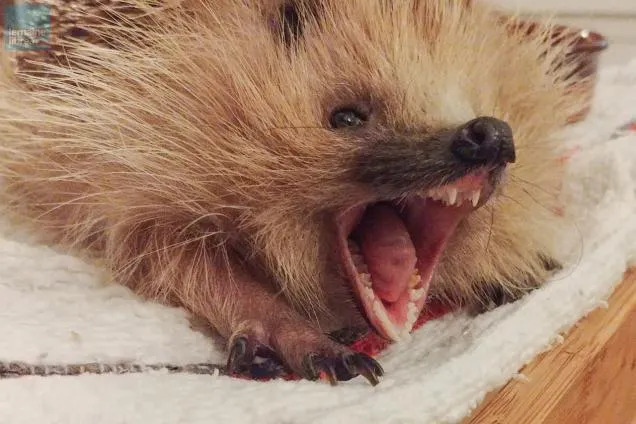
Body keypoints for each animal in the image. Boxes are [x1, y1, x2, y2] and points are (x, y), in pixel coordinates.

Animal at [0, 0, 584, 385]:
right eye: (345, 116)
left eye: (482, 100)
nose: (489, 134)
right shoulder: (123, 168)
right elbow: (180, 261)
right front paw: (303, 338)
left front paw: (511, 268)